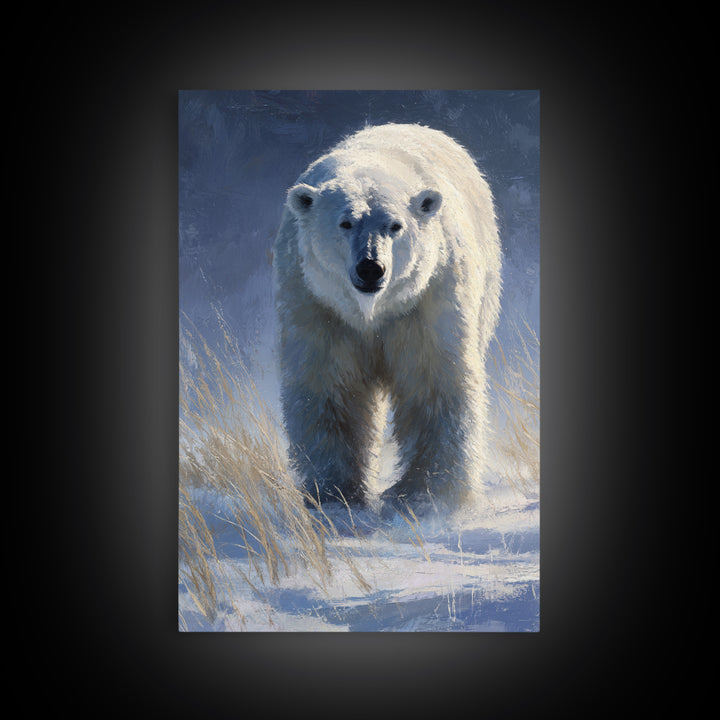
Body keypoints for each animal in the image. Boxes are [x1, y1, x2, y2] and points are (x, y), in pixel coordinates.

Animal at [272, 123, 502, 515]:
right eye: (345, 222)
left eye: (395, 225)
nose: (370, 268)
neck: (371, 311)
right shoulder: (318, 304)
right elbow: (330, 387)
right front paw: (337, 493)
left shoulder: (426, 300)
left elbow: (433, 383)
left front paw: (426, 492)